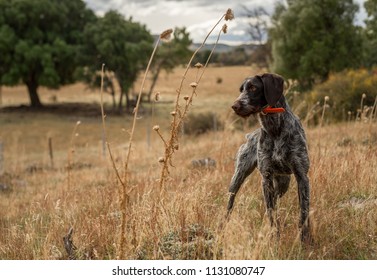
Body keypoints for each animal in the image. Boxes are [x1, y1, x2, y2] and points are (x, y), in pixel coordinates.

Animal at [226, 73, 312, 242]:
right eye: (241, 90)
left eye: (253, 87)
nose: (235, 106)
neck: (274, 128)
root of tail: (250, 135)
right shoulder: (266, 179)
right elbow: (272, 214)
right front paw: (275, 239)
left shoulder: (302, 177)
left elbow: (303, 213)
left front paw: (305, 241)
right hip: (238, 177)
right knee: (229, 206)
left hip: (283, 183)